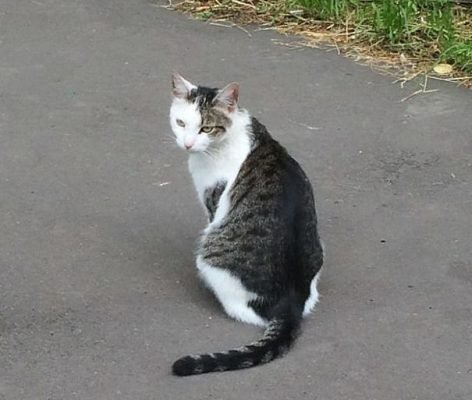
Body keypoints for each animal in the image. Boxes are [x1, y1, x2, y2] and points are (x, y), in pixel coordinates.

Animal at [169, 73, 324, 376]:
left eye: (206, 128)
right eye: (180, 123)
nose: (188, 144)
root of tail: (291, 301)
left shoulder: (213, 202)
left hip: (211, 259)